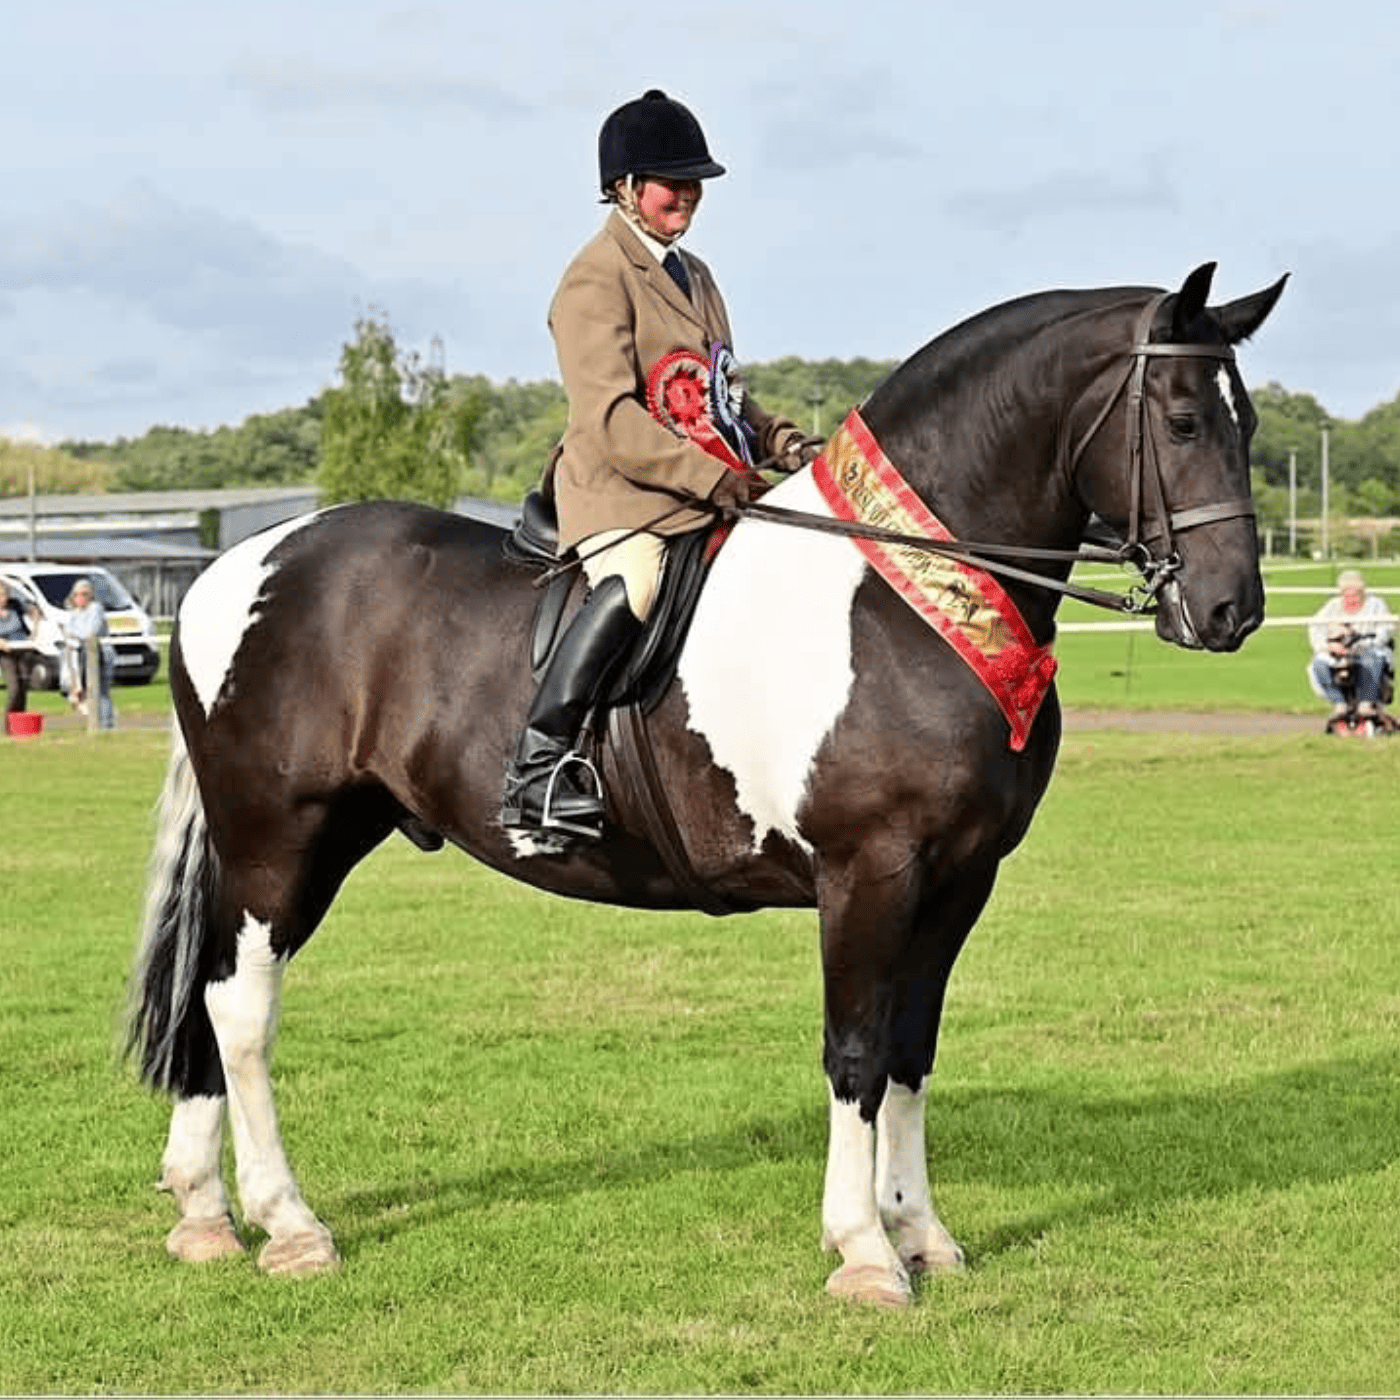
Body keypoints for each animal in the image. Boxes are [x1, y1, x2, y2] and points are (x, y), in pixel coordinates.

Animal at [126, 261, 1286, 1306]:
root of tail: (237, 569)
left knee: (209, 990)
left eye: (1249, 427)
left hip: (316, 836)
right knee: (240, 1006)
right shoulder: (867, 873)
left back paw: (203, 1214)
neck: (904, 596)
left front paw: (923, 1236)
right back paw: (289, 1223)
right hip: (279, 834)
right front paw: (864, 1252)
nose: (1232, 610)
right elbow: (855, 1050)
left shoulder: (958, 879)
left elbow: (909, 1050)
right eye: (1184, 420)